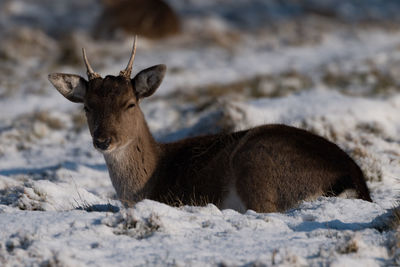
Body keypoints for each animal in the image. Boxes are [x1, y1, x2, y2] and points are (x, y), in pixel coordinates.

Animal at [48, 37, 374, 214]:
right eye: (87, 107)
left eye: (130, 103)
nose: (103, 140)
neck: (148, 181)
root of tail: (352, 179)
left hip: (258, 166)